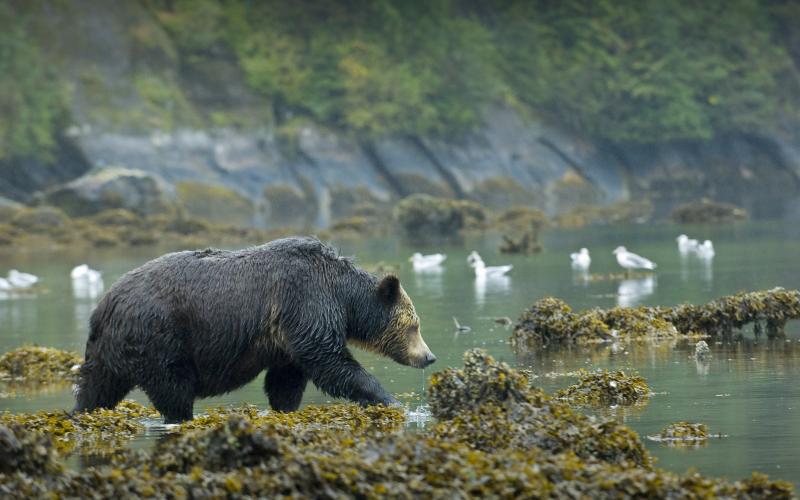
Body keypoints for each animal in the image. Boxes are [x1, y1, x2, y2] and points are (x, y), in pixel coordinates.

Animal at [73, 236, 436, 423]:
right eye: (414, 326)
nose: (429, 357)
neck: (342, 296)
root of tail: (105, 306)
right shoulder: (306, 301)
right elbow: (331, 363)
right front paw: (389, 400)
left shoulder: (288, 333)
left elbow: (286, 378)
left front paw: (284, 406)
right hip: (161, 337)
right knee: (173, 388)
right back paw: (182, 416)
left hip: (109, 350)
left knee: (97, 386)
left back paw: (83, 412)